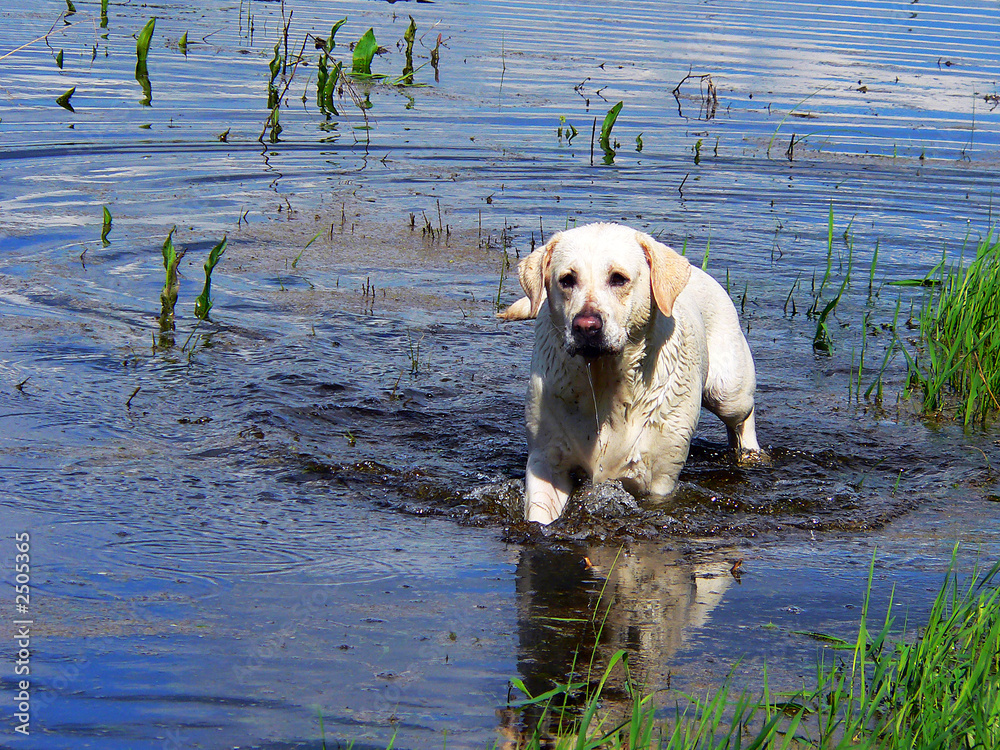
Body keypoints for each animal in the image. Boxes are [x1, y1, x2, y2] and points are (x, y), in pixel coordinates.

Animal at [500, 223, 756, 524]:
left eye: (618, 279)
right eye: (567, 279)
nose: (586, 326)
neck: (605, 380)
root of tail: (699, 270)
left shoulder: (659, 477)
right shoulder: (546, 459)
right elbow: (540, 514)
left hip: (727, 389)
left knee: (743, 416)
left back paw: (751, 453)